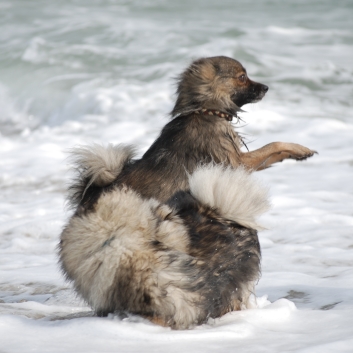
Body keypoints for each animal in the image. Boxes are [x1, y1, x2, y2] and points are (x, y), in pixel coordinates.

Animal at [58, 55, 316, 328]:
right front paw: (299, 149)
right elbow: (272, 145)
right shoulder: (238, 163)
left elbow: (272, 151)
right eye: (242, 77)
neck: (204, 110)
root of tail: (88, 198)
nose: (266, 87)